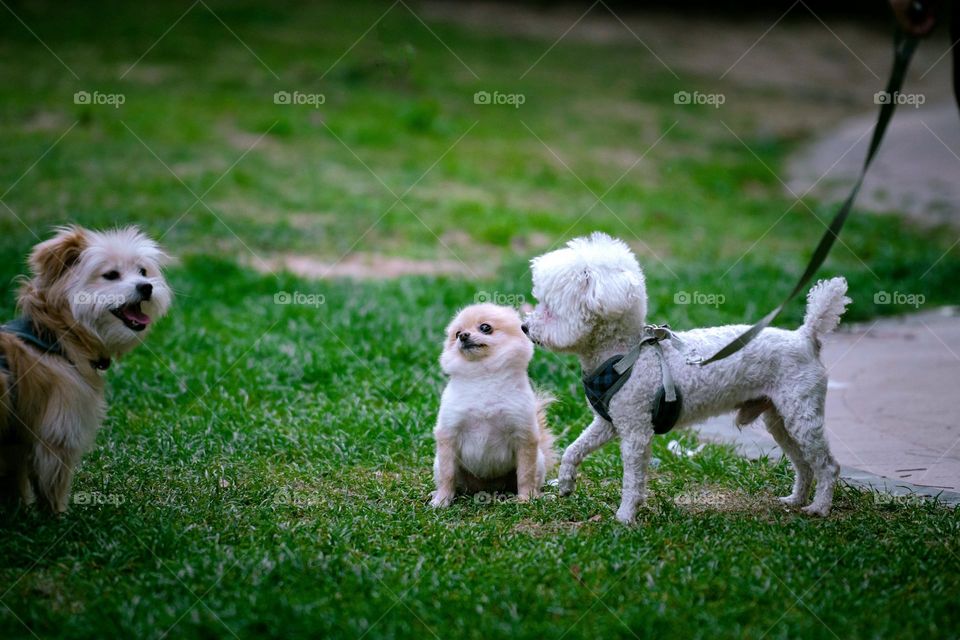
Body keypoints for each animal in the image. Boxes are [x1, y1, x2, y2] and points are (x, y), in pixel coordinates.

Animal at [520, 232, 852, 524]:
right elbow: (574, 449)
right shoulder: (609, 422)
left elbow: (632, 480)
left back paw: (820, 507)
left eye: (550, 309)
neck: (623, 354)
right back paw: (796, 499)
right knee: (804, 464)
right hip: (779, 419)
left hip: (801, 414)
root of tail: (806, 336)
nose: (524, 327)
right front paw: (565, 484)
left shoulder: (636, 431)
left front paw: (625, 516)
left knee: (828, 466)